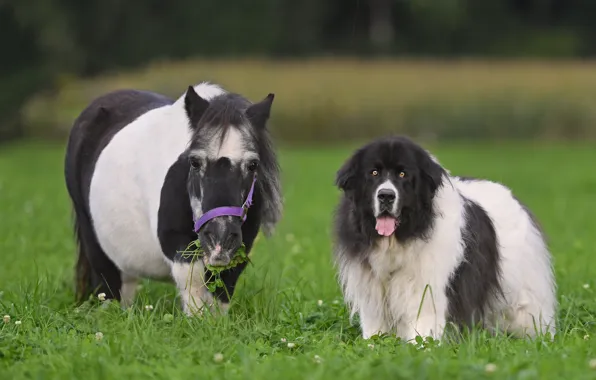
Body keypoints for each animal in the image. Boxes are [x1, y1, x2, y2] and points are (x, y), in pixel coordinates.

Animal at [64, 81, 282, 314]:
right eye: (194, 162)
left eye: (253, 164)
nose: (219, 239)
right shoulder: (177, 244)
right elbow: (194, 284)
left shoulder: (239, 249)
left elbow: (222, 291)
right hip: (93, 238)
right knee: (106, 286)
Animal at [332, 136, 556, 342]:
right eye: (374, 173)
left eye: (403, 174)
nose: (386, 195)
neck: (400, 238)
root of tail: (511, 195)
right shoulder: (372, 292)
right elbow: (375, 329)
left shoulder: (426, 289)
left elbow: (423, 326)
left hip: (520, 293)